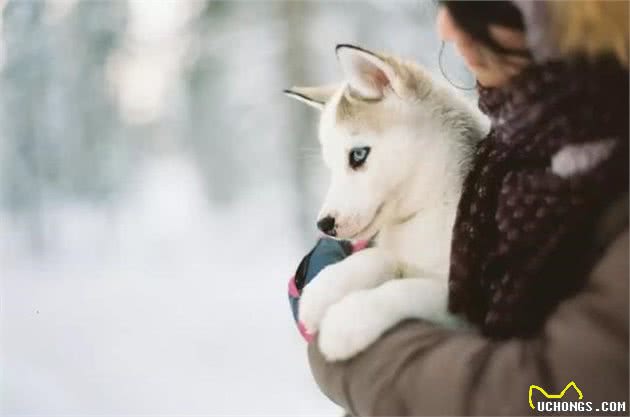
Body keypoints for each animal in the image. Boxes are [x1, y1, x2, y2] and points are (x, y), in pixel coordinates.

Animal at [286, 44, 488, 360]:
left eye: (358, 155)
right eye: (330, 165)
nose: (324, 224)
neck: (429, 209)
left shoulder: (473, 303)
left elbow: (411, 289)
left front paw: (349, 319)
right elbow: (379, 257)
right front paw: (325, 288)